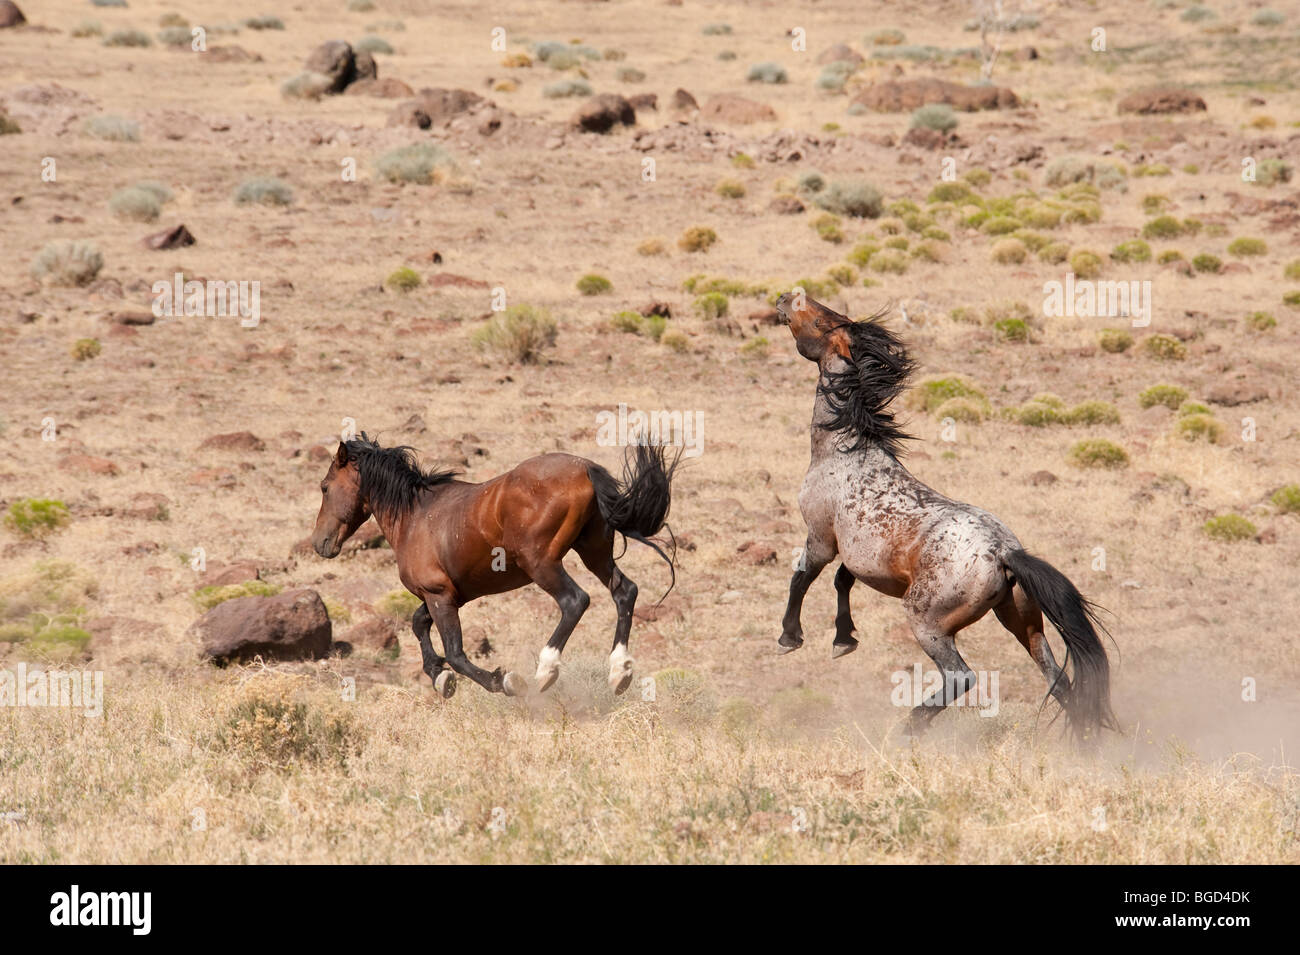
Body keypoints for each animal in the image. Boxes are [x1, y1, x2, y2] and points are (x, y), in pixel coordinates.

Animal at [309, 436, 676, 696]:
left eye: (325, 487)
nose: (319, 543)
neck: (415, 515)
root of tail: (586, 469)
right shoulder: (449, 595)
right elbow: (417, 624)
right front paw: (438, 676)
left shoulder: (439, 596)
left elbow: (455, 652)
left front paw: (503, 681)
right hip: (594, 552)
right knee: (625, 591)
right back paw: (620, 672)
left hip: (542, 563)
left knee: (575, 601)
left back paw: (545, 671)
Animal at [769, 291, 1118, 738]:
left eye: (824, 322)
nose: (785, 298)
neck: (846, 451)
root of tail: (1005, 552)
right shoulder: (859, 554)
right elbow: (841, 582)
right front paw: (843, 640)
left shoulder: (820, 538)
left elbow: (802, 579)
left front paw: (790, 637)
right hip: (1023, 621)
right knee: (1058, 679)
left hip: (929, 623)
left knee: (961, 676)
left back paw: (908, 728)